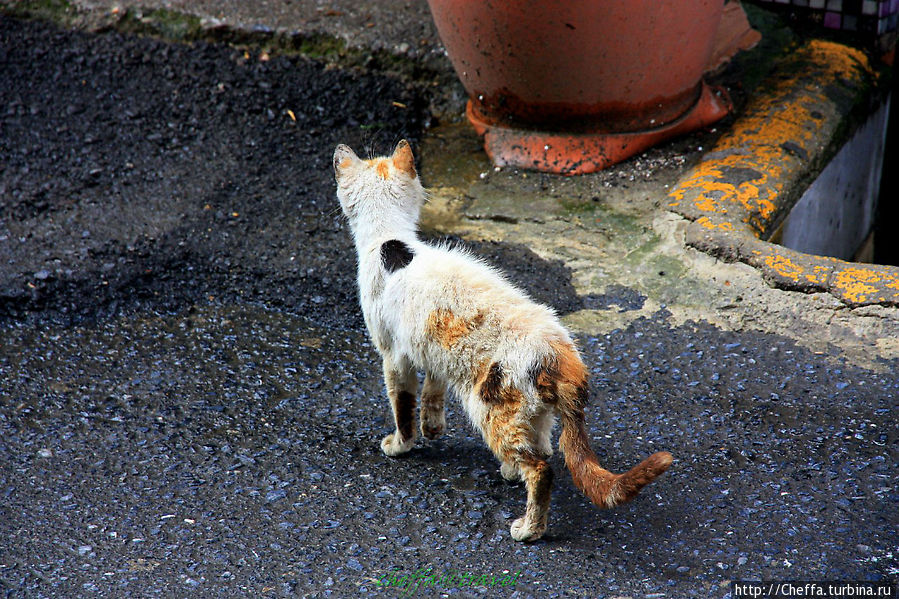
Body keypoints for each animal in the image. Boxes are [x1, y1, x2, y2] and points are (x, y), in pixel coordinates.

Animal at [334, 141, 672, 544]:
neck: (390, 240)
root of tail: (560, 353)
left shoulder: (393, 353)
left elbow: (401, 406)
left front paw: (401, 445)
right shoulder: (430, 347)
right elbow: (433, 390)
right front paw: (433, 427)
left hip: (490, 407)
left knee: (541, 470)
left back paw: (529, 529)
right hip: (531, 409)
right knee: (541, 446)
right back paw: (511, 472)